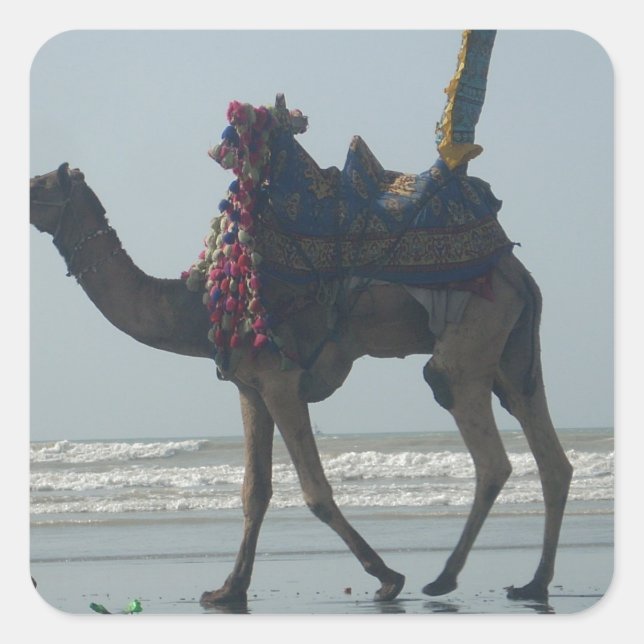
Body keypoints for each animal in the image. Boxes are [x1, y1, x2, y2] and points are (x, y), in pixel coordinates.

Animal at [30, 33, 573, 606]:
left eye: (40, 183)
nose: (22, 187)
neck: (200, 304)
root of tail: (516, 269)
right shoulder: (249, 386)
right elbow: (255, 489)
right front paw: (228, 589)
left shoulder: (281, 378)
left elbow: (313, 490)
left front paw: (387, 577)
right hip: (511, 348)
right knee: (549, 453)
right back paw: (534, 581)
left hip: (473, 332)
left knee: (483, 443)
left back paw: (443, 577)